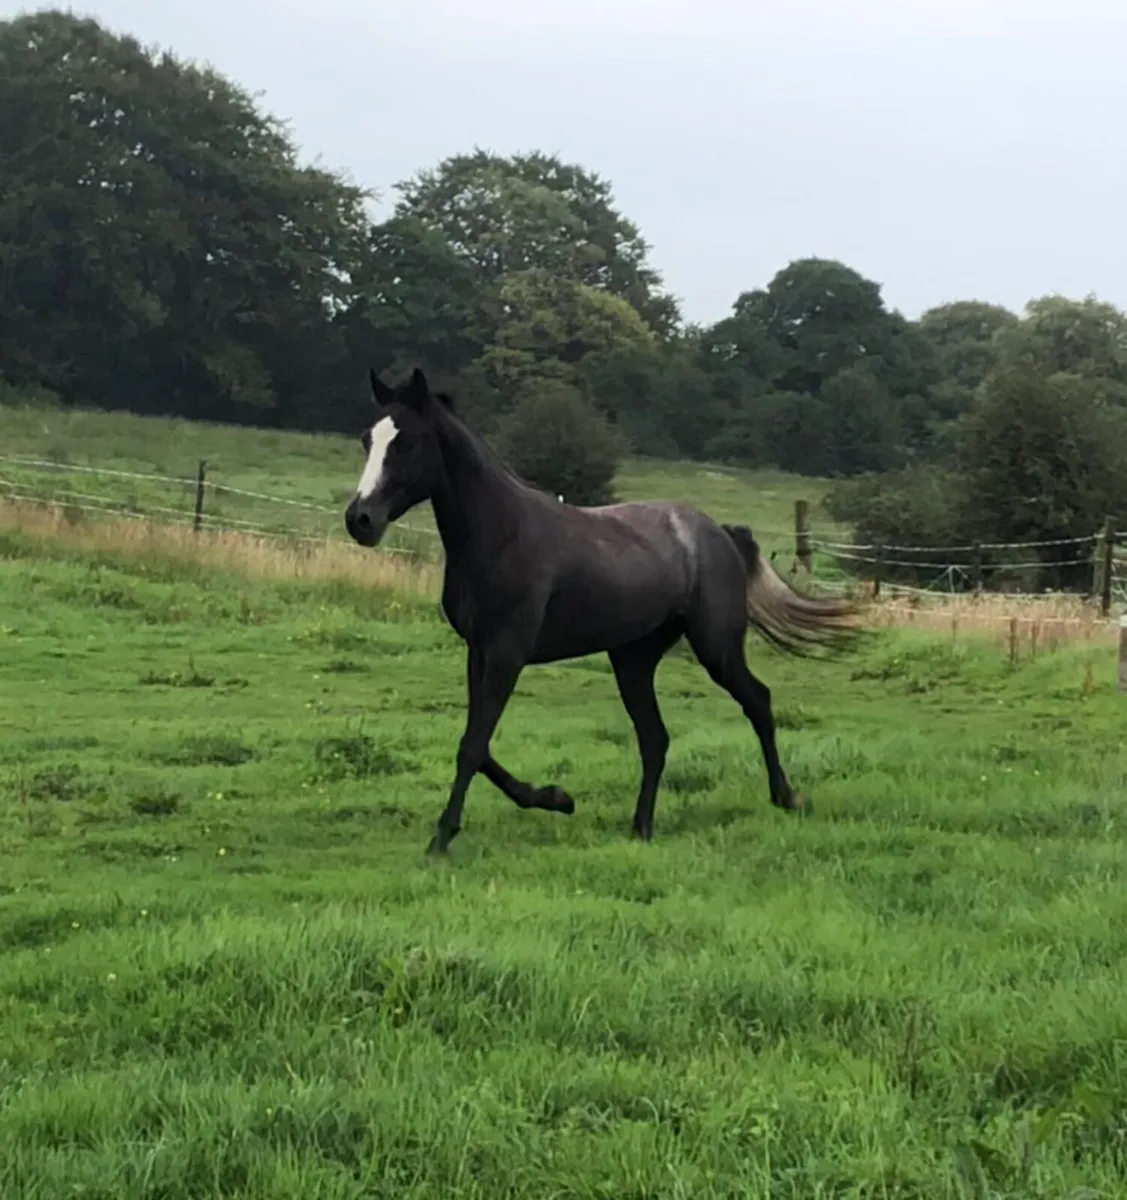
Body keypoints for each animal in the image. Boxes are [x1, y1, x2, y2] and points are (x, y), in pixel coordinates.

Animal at [344, 367, 863, 855]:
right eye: (368, 439)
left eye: (407, 442)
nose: (360, 520)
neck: (501, 533)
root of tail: (719, 532)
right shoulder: (480, 651)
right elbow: (480, 742)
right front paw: (557, 798)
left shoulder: (508, 652)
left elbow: (472, 745)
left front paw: (442, 839)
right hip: (633, 658)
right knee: (656, 737)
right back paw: (641, 828)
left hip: (716, 645)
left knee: (757, 700)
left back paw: (786, 797)